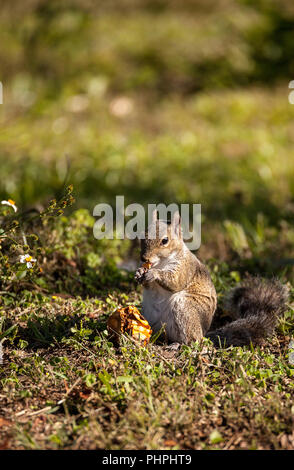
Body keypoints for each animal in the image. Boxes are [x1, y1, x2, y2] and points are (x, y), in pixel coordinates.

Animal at [136, 211, 290, 346]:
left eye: (165, 241)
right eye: (142, 236)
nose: (144, 258)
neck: (161, 263)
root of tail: (204, 334)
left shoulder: (186, 267)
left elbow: (175, 281)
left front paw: (154, 274)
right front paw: (139, 273)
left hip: (185, 308)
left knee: (194, 340)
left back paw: (178, 345)